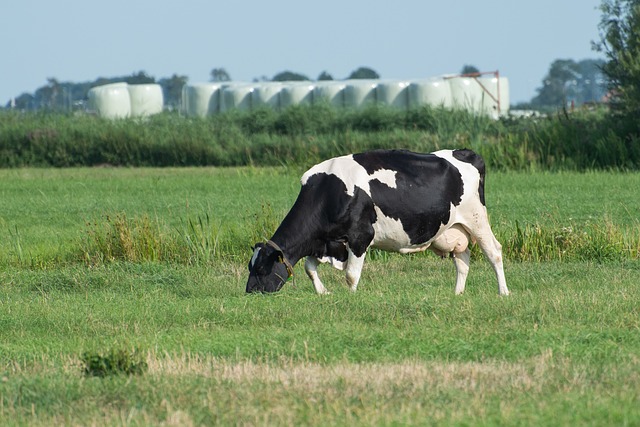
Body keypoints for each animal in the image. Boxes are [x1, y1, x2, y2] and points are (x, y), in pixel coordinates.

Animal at [246, 150, 510, 298]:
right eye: (250, 267)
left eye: (261, 269)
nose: (249, 292)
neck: (327, 192)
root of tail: (465, 152)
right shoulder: (327, 241)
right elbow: (310, 268)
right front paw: (323, 292)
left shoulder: (360, 236)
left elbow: (351, 275)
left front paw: (350, 298)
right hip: (453, 229)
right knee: (463, 260)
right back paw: (457, 294)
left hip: (476, 219)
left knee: (494, 252)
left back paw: (503, 292)